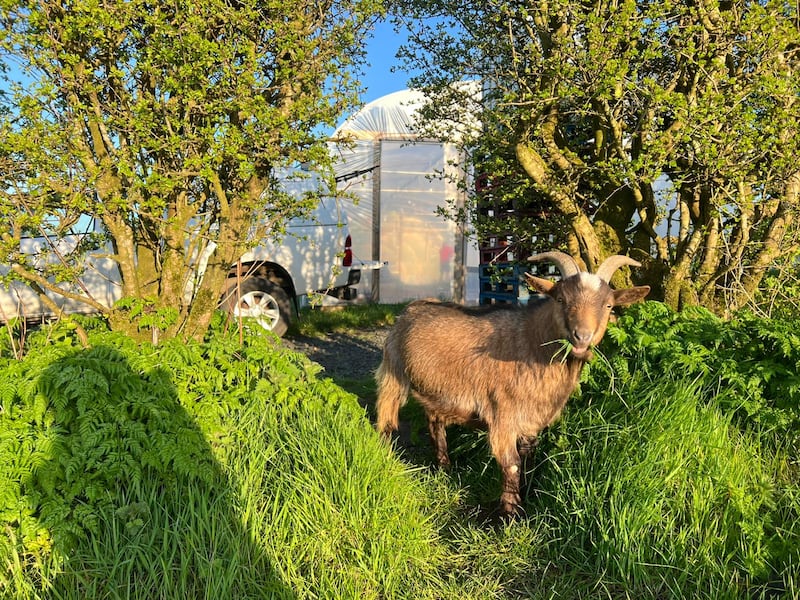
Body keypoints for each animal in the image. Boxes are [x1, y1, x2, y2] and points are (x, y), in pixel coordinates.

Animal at [375, 251, 650, 516]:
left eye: (608, 305)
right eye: (560, 299)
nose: (581, 336)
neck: (533, 342)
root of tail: (409, 309)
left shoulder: (531, 419)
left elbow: (528, 457)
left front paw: (525, 495)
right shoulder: (503, 414)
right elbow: (512, 463)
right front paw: (511, 512)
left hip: (436, 391)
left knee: (435, 423)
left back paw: (444, 467)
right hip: (394, 372)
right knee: (387, 418)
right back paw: (386, 455)